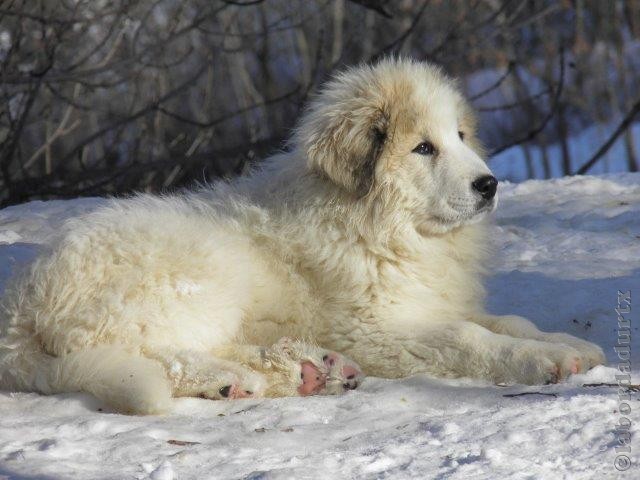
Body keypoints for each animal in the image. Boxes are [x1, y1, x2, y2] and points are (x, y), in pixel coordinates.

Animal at [0, 58, 604, 414]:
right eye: (423, 148)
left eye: (459, 136)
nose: (489, 184)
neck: (382, 228)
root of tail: (22, 307)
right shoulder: (376, 329)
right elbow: (469, 338)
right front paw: (544, 360)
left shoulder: (429, 300)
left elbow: (508, 320)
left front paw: (569, 345)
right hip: (195, 275)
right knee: (149, 352)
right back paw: (240, 375)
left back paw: (305, 369)